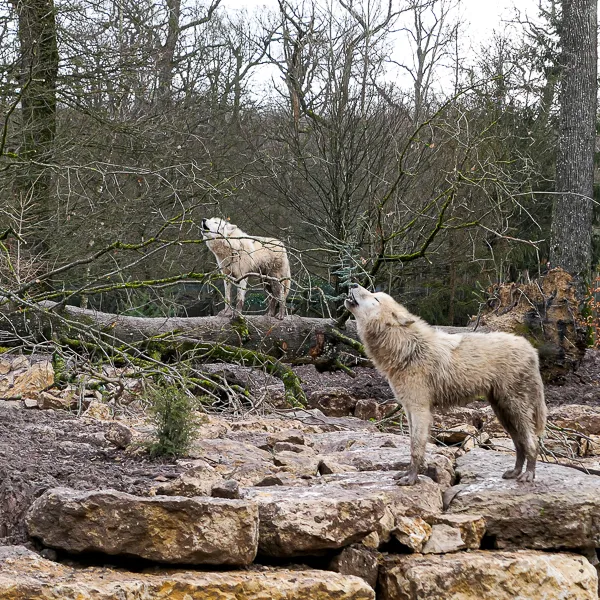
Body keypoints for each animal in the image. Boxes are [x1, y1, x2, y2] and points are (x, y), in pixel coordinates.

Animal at [344, 284, 548, 486]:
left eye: (375, 298)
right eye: (373, 293)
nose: (353, 284)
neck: (408, 349)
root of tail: (531, 348)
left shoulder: (420, 409)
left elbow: (416, 447)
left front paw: (411, 479)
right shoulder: (409, 410)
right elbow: (413, 445)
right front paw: (408, 474)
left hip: (514, 409)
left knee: (532, 442)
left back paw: (528, 475)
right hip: (503, 412)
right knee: (519, 443)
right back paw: (515, 472)